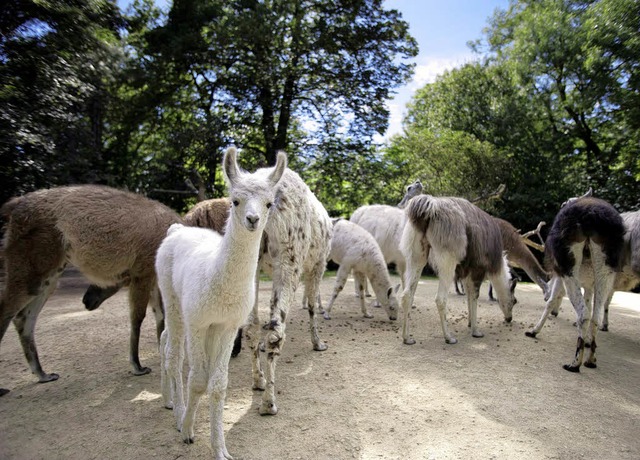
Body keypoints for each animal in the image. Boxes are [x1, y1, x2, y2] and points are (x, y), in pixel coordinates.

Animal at [155, 146, 284, 456]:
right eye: (235, 200)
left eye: (269, 203)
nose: (252, 220)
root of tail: (177, 230)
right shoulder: (198, 322)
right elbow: (198, 380)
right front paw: (188, 430)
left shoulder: (226, 326)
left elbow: (218, 384)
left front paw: (220, 449)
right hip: (172, 300)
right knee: (173, 356)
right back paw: (178, 412)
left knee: (165, 341)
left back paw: (168, 400)